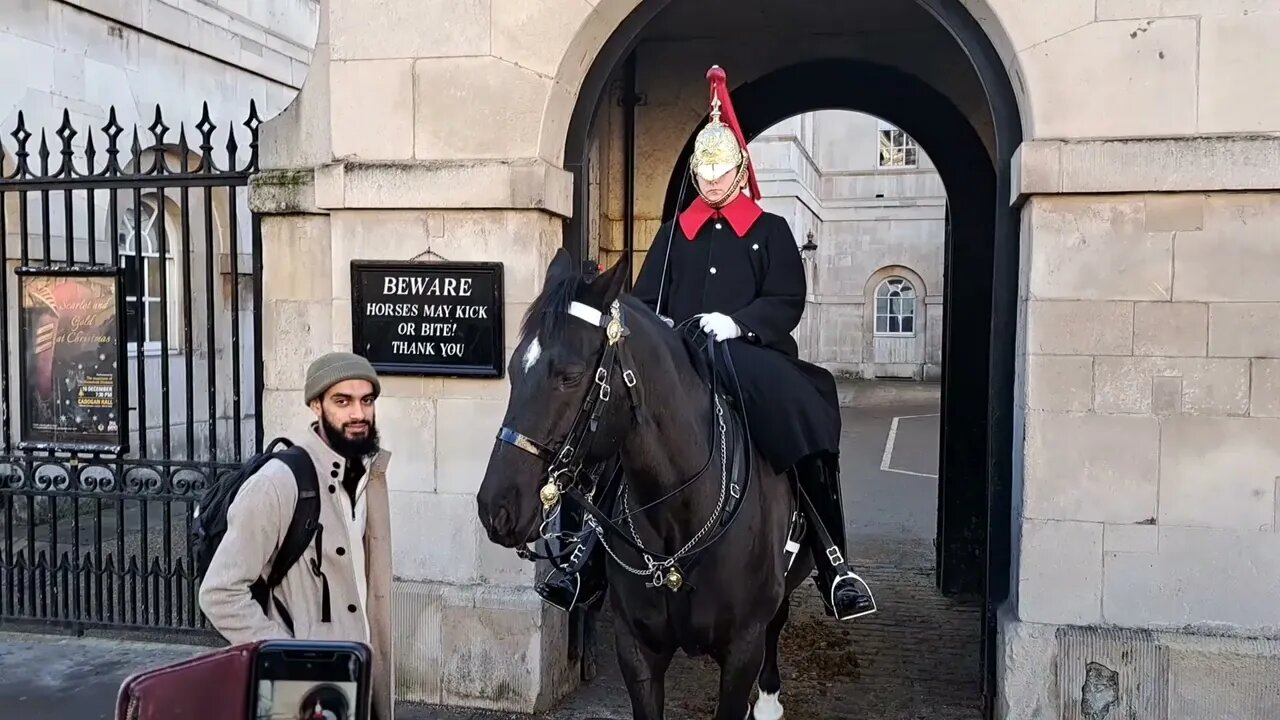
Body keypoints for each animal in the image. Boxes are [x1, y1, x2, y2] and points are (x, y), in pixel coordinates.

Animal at [476, 248, 814, 717]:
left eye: (569, 375)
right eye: (512, 368)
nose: (496, 507)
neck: (680, 515)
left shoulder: (741, 651)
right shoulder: (637, 649)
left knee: (778, 620)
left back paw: (768, 701)